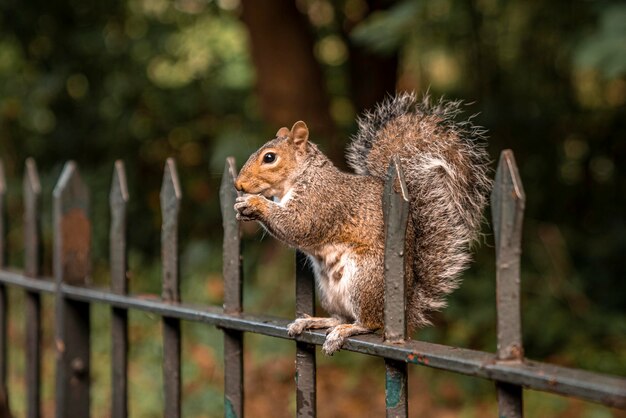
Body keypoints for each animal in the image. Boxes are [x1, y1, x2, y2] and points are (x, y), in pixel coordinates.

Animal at [232, 93, 490, 354]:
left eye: (270, 157)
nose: (238, 184)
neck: (302, 177)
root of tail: (404, 310)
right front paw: (243, 209)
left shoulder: (321, 202)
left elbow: (298, 226)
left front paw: (255, 203)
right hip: (328, 289)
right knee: (339, 317)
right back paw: (313, 321)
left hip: (364, 278)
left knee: (369, 323)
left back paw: (346, 330)